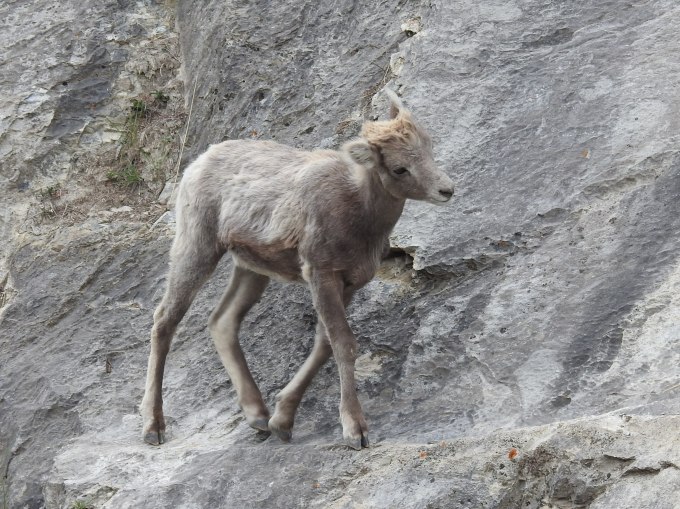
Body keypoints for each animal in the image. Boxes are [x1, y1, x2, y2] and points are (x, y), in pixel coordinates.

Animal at [140, 89, 455, 450]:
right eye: (399, 168)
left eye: (428, 147)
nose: (446, 190)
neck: (359, 213)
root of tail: (197, 163)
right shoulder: (321, 273)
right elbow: (343, 344)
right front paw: (355, 430)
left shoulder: (347, 283)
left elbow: (324, 344)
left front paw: (282, 422)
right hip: (197, 247)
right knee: (165, 319)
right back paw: (154, 427)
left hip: (251, 268)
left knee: (222, 321)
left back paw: (258, 416)